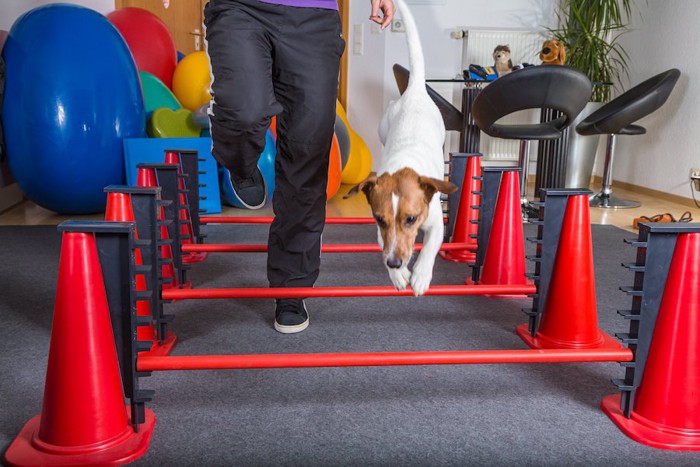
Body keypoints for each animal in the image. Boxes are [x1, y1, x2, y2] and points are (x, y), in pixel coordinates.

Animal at [346, 0, 456, 296]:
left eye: (411, 219)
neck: (404, 165)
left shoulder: (435, 223)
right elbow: (383, 245)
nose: (395, 263)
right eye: (380, 219)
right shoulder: (379, 231)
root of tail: (415, 90)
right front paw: (398, 275)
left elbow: (429, 247)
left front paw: (420, 276)